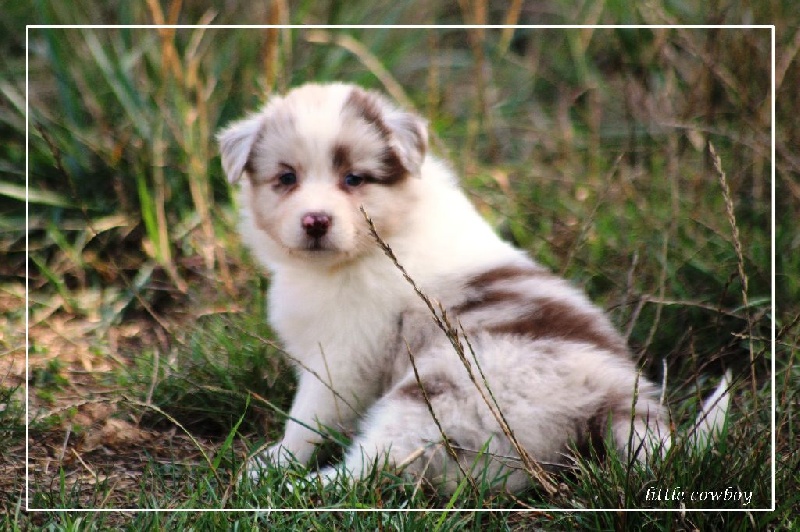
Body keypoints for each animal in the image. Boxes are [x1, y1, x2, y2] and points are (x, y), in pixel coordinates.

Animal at [218, 82, 729, 493]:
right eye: (286, 178)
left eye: (353, 179)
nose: (316, 221)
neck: (378, 238)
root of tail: (616, 395)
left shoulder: (342, 358)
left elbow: (307, 419)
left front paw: (275, 463)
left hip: (435, 398)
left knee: (375, 464)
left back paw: (301, 488)